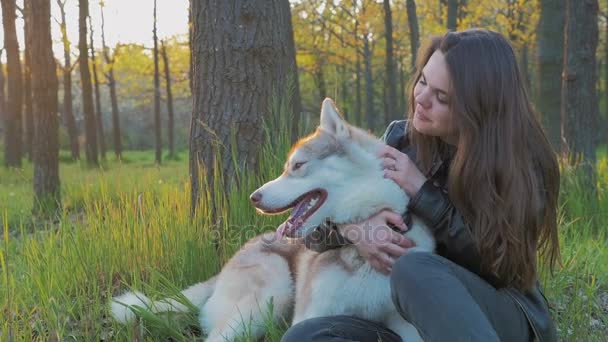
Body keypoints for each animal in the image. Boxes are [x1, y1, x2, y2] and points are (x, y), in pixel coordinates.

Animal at [111, 97, 434, 340]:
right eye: (286, 167)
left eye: (298, 166)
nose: (254, 197)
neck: (360, 252)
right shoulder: (310, 315)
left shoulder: (408, 327)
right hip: (271, 291)